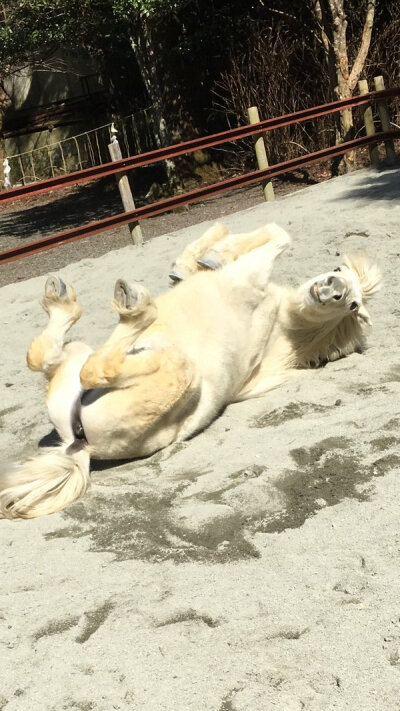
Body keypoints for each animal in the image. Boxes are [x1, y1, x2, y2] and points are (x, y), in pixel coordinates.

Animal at [0, 225, 382, 520]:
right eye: (339, 270)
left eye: (353, 304)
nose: (332, 289)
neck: (280, 322)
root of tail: (81, 444)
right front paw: (198, 260)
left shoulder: (249, 275)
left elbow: (277, 234)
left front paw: (211, 256)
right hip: (75, 360)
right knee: (45, 357)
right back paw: (67, 300)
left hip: (178, 369)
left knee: (95, 369)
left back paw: (134, 306)